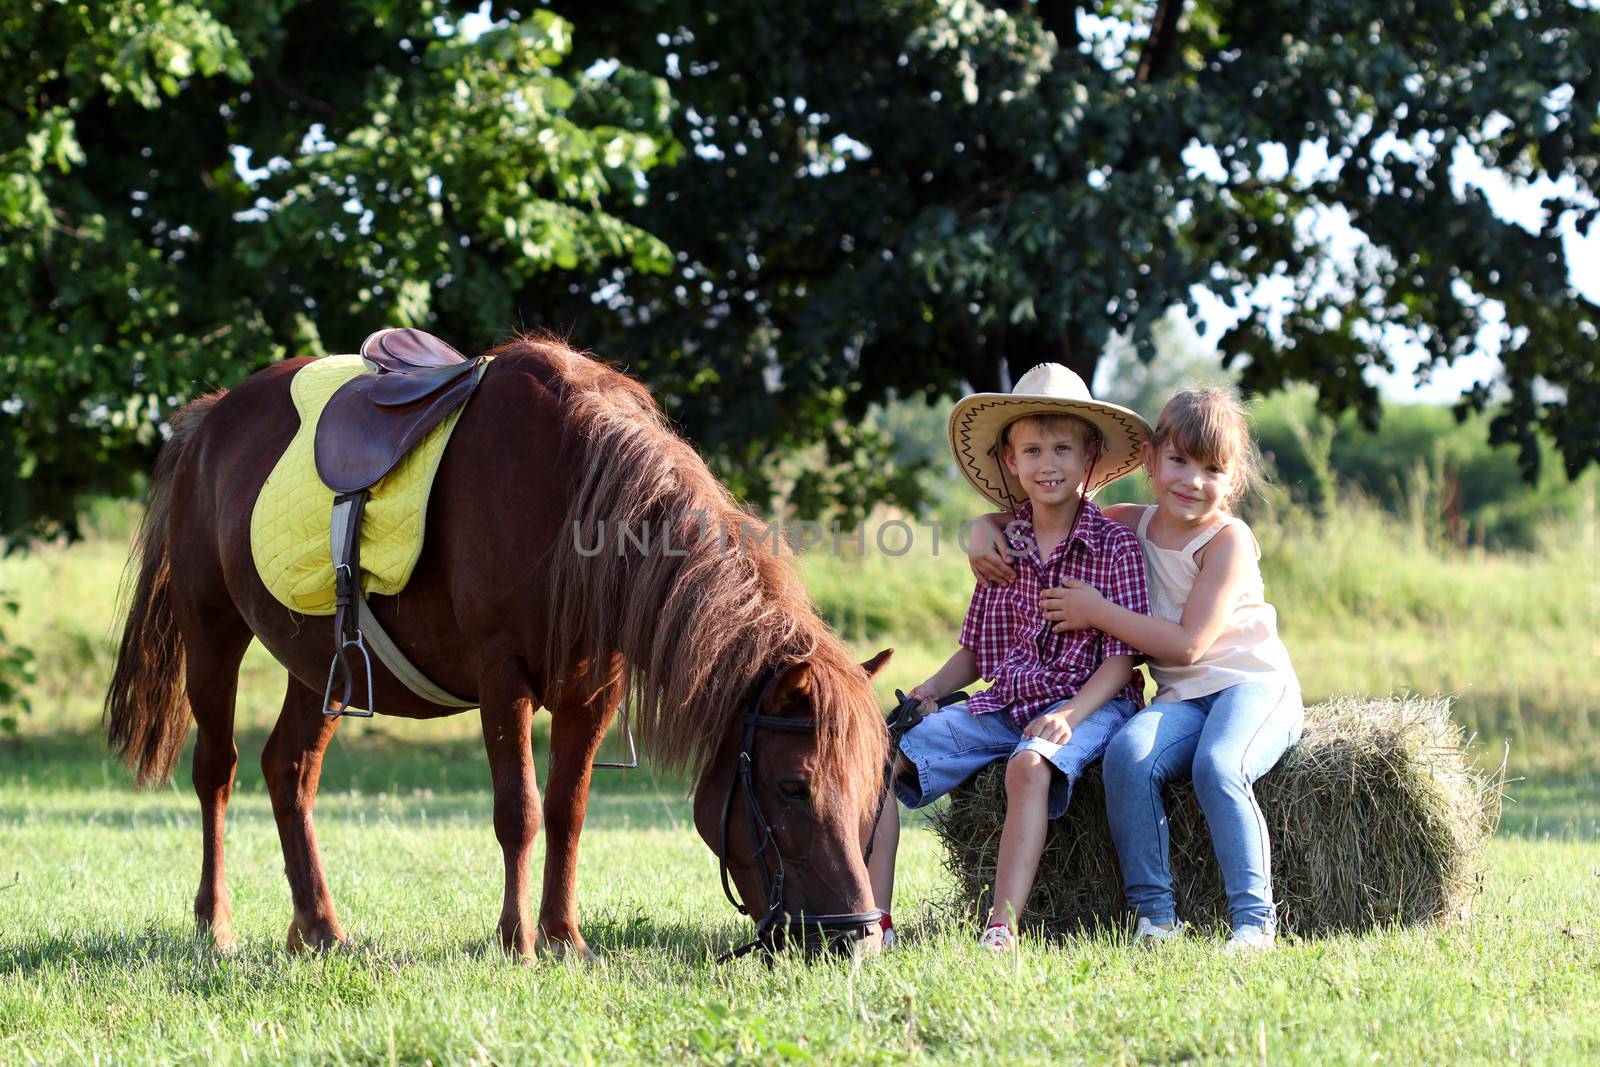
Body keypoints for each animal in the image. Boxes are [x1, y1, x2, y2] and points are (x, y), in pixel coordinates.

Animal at [106, 334, 896, 959]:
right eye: (792, 786)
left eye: (872, 788)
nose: (857, 936)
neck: (573, 493)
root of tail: (210, 417)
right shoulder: (501, 676)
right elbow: (518, 809)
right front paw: (517, 940)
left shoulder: (592, 693)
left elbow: (568, 810)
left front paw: (564, 936)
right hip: (213, 631)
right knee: (217, 771)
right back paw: (216, 924)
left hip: (322, 660)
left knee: (288, 769)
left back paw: (320, 927)